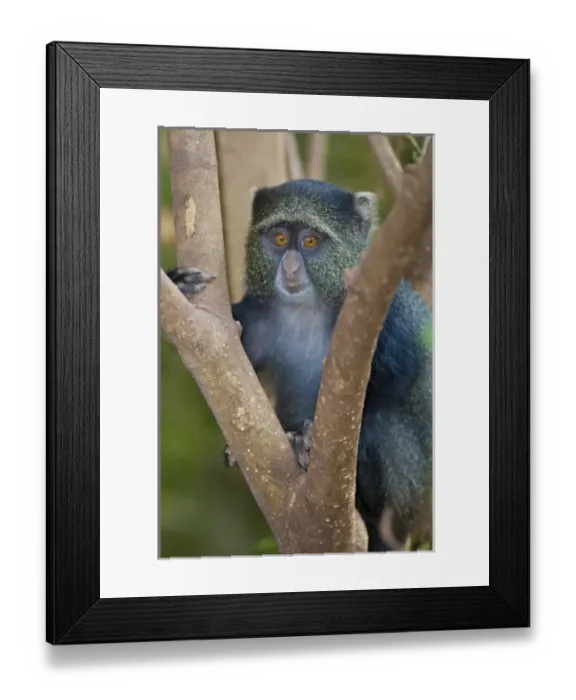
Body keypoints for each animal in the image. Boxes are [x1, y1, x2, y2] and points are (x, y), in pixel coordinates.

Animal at [167, 178, 432, 552]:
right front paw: (179, 283)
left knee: (387, 429)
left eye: (310, 242)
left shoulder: (390, 314)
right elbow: (236, 350)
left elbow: (399, 380)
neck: (309, 308)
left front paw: (306, 439)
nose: (290, 268)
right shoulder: (260, 315)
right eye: (279, 239)